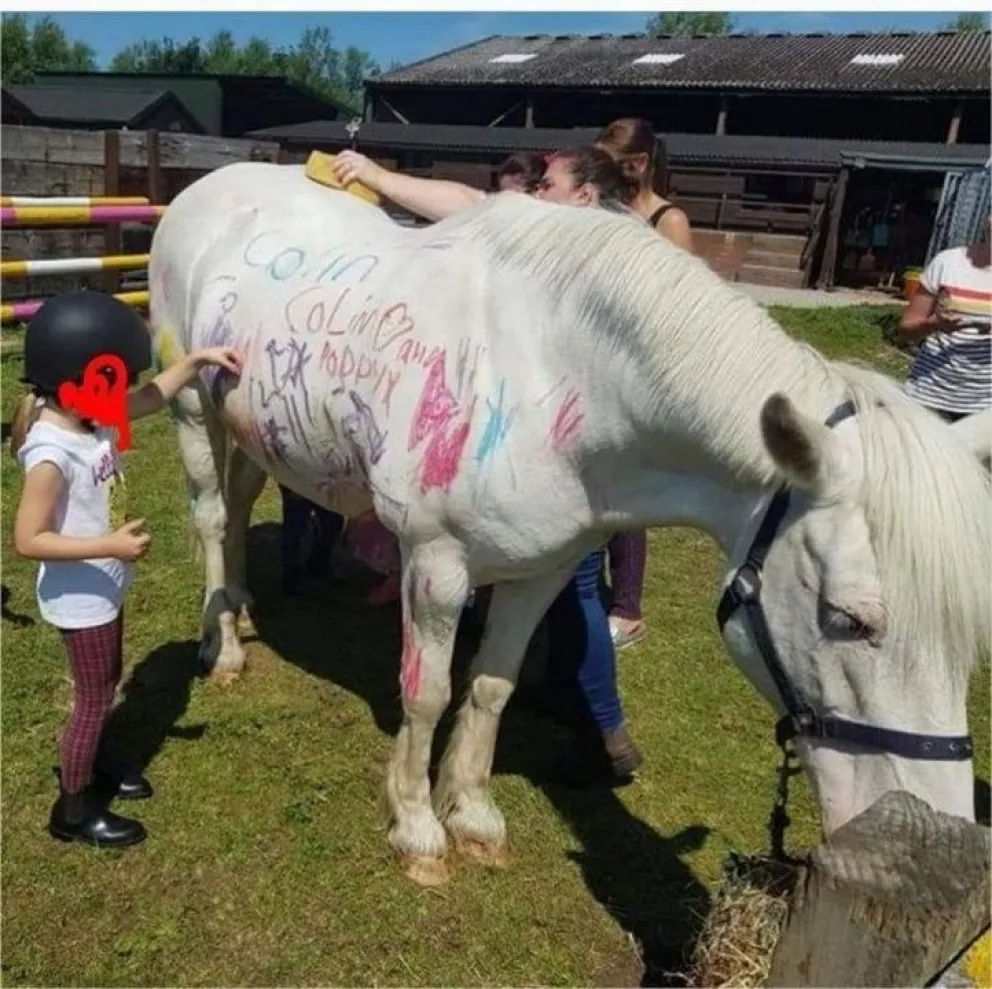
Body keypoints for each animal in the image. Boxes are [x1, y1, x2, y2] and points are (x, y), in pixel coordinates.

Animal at [148, 161, 990, 886]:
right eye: (850, 618)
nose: (930, 843)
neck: (556, 370)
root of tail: (210, 188)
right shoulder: (436, 564)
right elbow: (426, 694)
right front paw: (417, 829)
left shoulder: (543, 568)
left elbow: (491, 686)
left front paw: (473, 815)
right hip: (191, 409)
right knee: (212, 516)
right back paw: (222, 646)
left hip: (250, 424)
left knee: (241, 504)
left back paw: (243, 612)